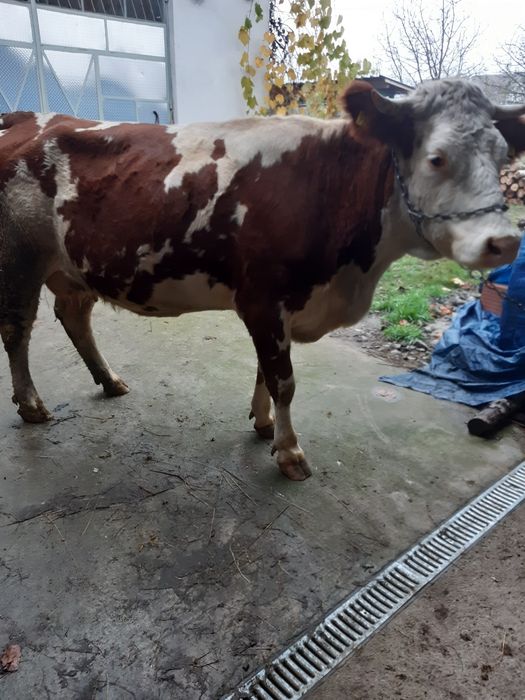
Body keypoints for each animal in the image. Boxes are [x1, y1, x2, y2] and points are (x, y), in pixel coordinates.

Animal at [1, 80, 524, 481]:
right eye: (437, 158)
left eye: (503, 157)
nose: (504, 241)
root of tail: (26, 118)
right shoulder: (263, 299)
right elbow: (284, 380)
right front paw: (290, 452)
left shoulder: (273, 308)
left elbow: (264, 372)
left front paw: (265, 423)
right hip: (20, 259)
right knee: (16, 330)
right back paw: (31, 405)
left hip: (73, 267)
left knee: (73, 317)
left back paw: (108, 381)